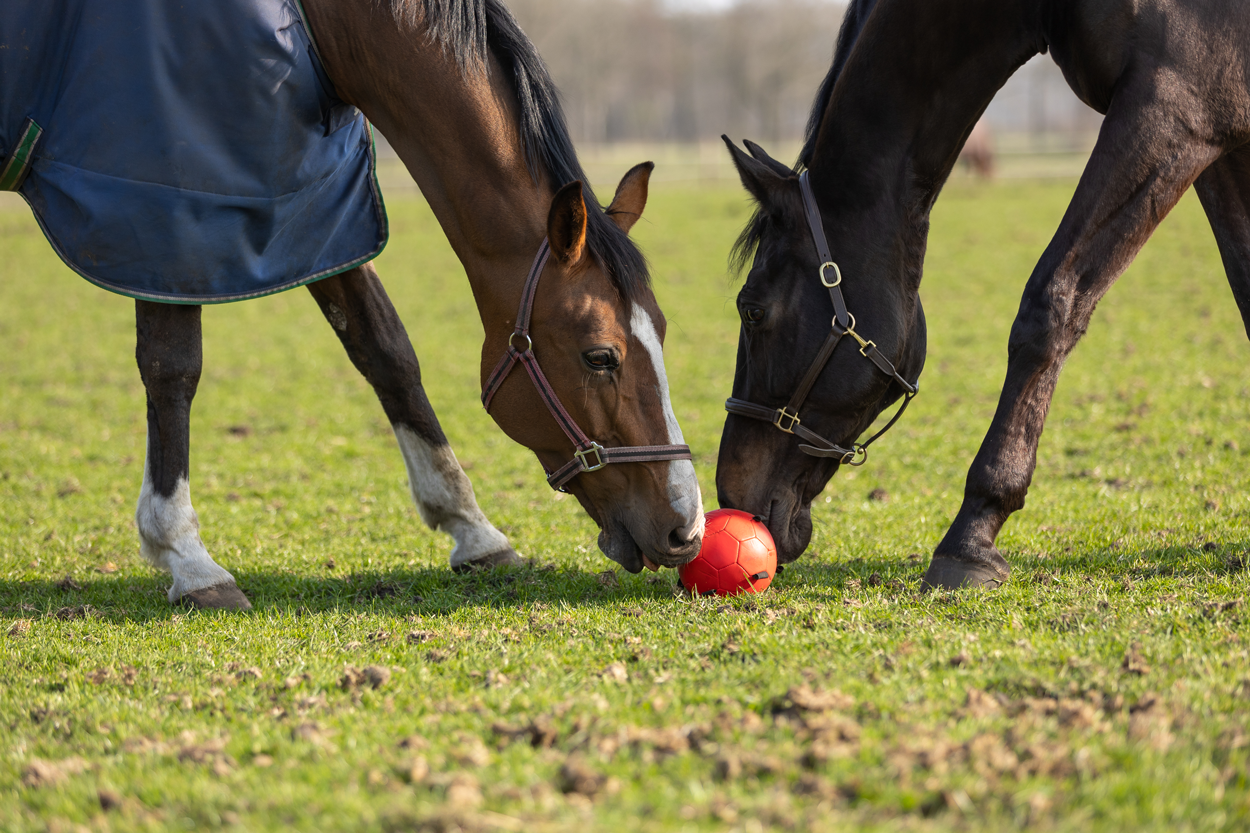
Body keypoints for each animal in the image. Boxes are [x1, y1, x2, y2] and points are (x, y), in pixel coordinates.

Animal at [1, 0, 704, 610]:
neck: (314, 26)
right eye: (600, 356)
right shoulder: (170, 210)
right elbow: (173, 368)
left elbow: (386, 350)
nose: (687, 529)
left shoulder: (321, 209)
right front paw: (187, 557)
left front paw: (473, 530)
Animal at [716, 0, 1250, 588]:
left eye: (753, 310)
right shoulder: (1221, 135)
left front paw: (972, 534)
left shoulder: (1174, 107)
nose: (729, 492)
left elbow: (1051, 303)